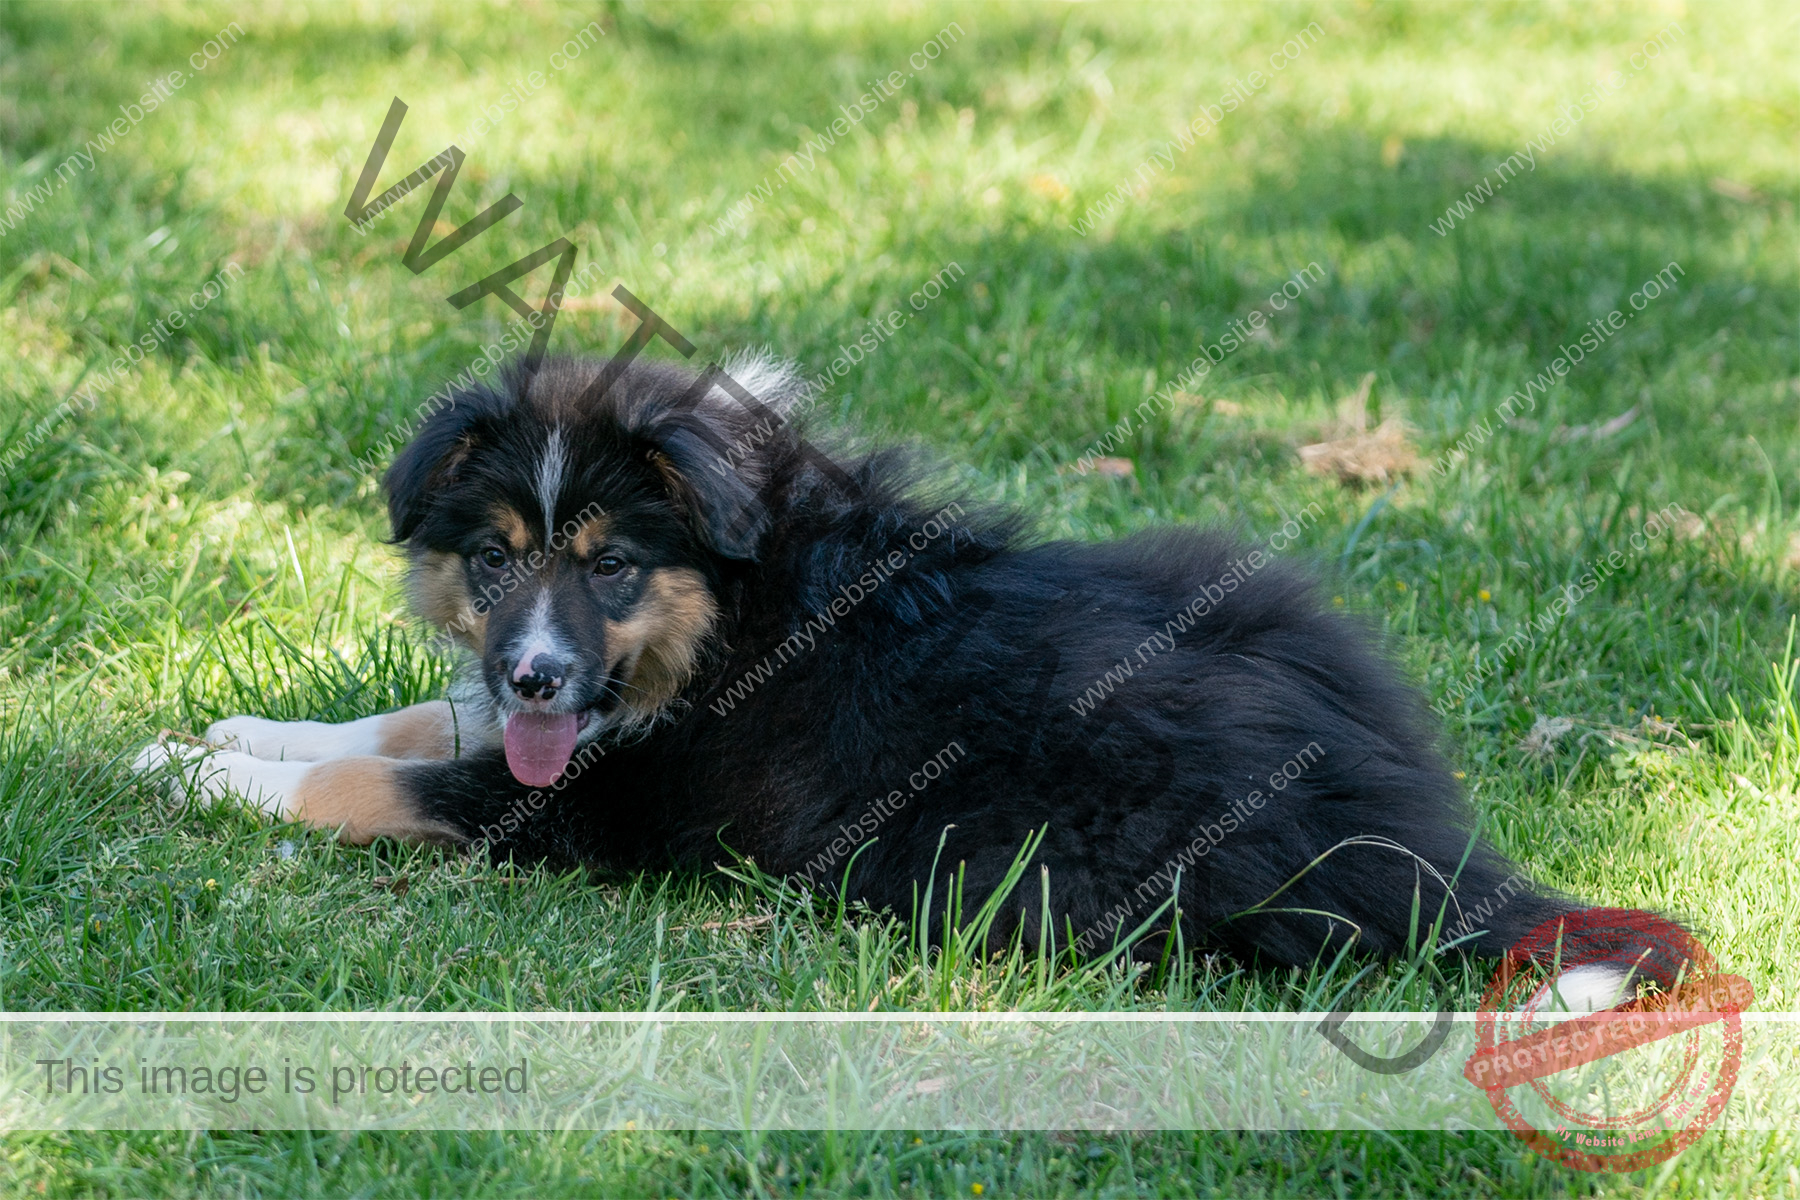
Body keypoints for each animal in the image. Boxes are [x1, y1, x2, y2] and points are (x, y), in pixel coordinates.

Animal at [130, 349, 1648, 985]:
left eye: (614, 566)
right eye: (496, 559)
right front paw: (217, 731)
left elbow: (384, 785)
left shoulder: (601, 809)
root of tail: (1405, 835)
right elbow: (391, 724)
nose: (539, 681)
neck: (734, 614)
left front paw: (209, 778)